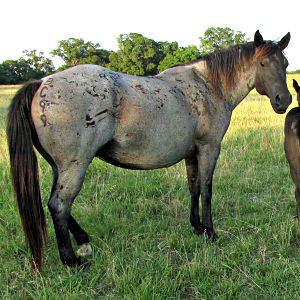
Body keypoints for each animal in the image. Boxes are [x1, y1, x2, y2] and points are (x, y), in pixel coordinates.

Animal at [6, 30, 290, 270]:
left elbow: (195, 188)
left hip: (60, 167)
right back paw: (72, 260)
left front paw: (196, 226)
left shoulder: (191, 153)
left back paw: (83, 241)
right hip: (74, 165)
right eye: (262, 64)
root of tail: (40, 84)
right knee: (59, 205)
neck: (209, 85)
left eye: (285, 64)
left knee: (57, 205)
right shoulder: (209, 148)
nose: (284, 100)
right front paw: (210, 232)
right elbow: (208, 191)